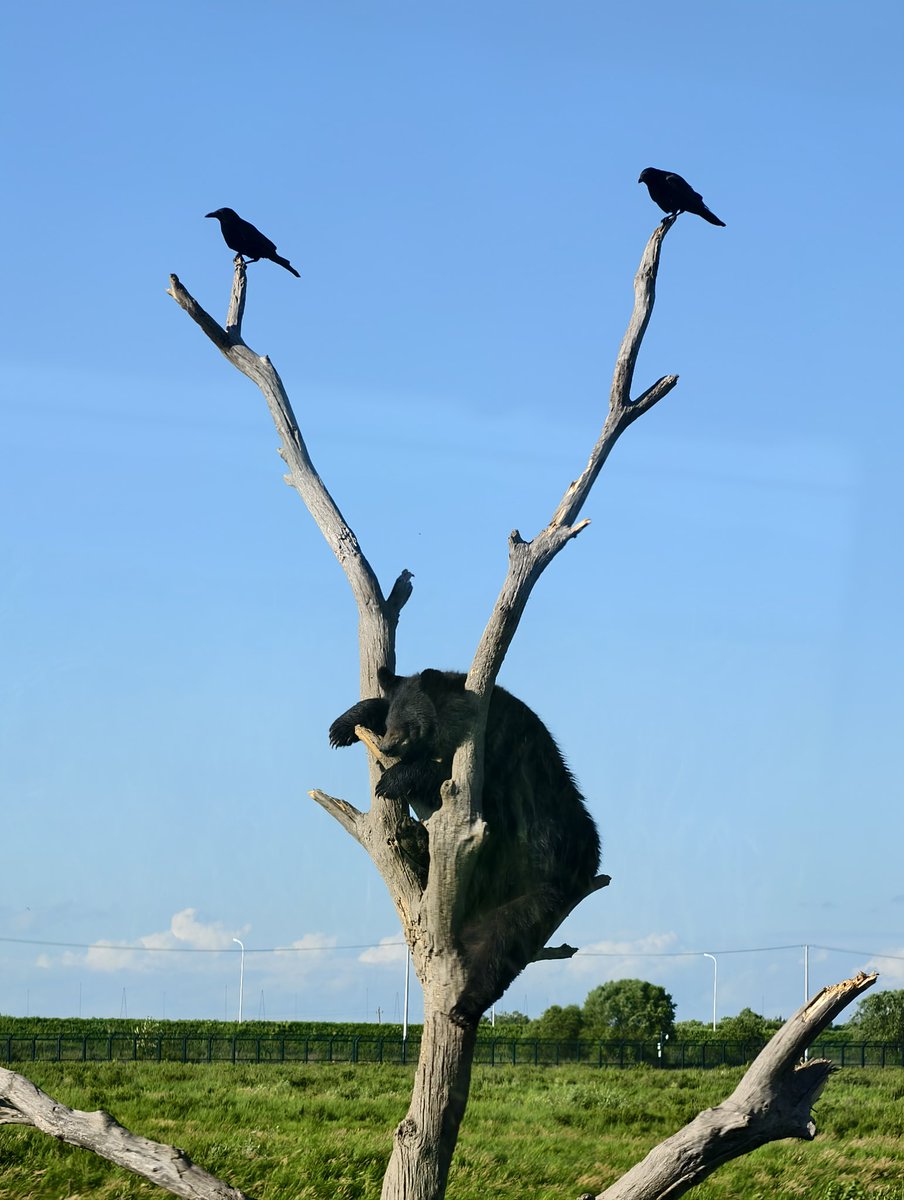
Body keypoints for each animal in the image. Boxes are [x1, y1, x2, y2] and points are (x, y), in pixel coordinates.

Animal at [329, 668, 602, 1018]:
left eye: (409, 723)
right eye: (390, 721)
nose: (388, 747)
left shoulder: (499, 745)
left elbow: (456, 780)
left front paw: (394, 778)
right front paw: (344, 725)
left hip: (538, 886)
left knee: (503, 942)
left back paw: (466, 1004)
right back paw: (417, 841)